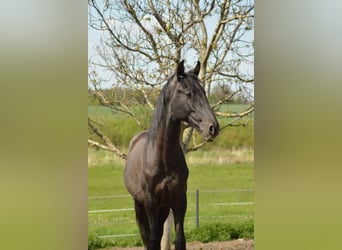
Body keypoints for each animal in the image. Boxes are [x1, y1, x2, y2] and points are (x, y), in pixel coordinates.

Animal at [123, 61, 219, 250]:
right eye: (188, 93)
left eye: (204, 93)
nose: (213, 128)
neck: (163, 159)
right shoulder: (151, 203)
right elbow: (153, 240)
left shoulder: (179, 200)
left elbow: (179, 239)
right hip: (140, 205)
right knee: (147, 237)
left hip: (164, 208)